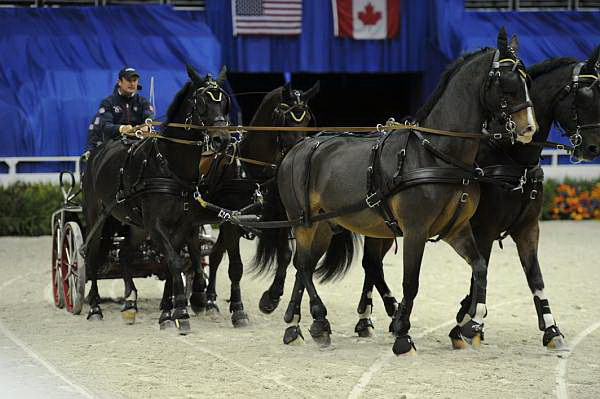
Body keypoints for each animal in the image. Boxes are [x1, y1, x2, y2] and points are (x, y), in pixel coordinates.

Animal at [84, 65, 232, 334]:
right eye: (201, 103)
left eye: (224, 102)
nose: (222, 139)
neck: (169, 166)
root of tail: (98, 152)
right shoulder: (156, 225)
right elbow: (174, 262)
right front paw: (181, 312)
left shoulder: (181, 225)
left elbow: (170, 265)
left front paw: (166, 313)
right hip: (96, 216)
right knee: (90, 255)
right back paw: (95, 308)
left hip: (136, 225)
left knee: (124, 254)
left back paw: (130, 303)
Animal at [186, 82, 318, 328]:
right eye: (284, 118)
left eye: (306, 119)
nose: (298, 158)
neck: (254, 173)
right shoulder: (231, 222)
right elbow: (236, 268)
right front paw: (238, 310)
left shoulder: (280, 218)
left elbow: (285, 255)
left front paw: (271, 298)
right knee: (193, 248)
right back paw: (198, 295)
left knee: (215, 255)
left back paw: (211, 301)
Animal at [255, 28, 536, 356]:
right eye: (507, 83)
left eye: (527, 81)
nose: (529, 129)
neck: (435, 154)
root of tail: (298, 148)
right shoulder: (415, 230)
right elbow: (411, 283)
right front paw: (403, 334)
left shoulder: (457, 229)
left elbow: (479, 269)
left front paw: (470, 321)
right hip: (302, 222)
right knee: (301, 264)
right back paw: (318, 319)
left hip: (323, 225)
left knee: (306, 266)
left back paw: (296, 324)